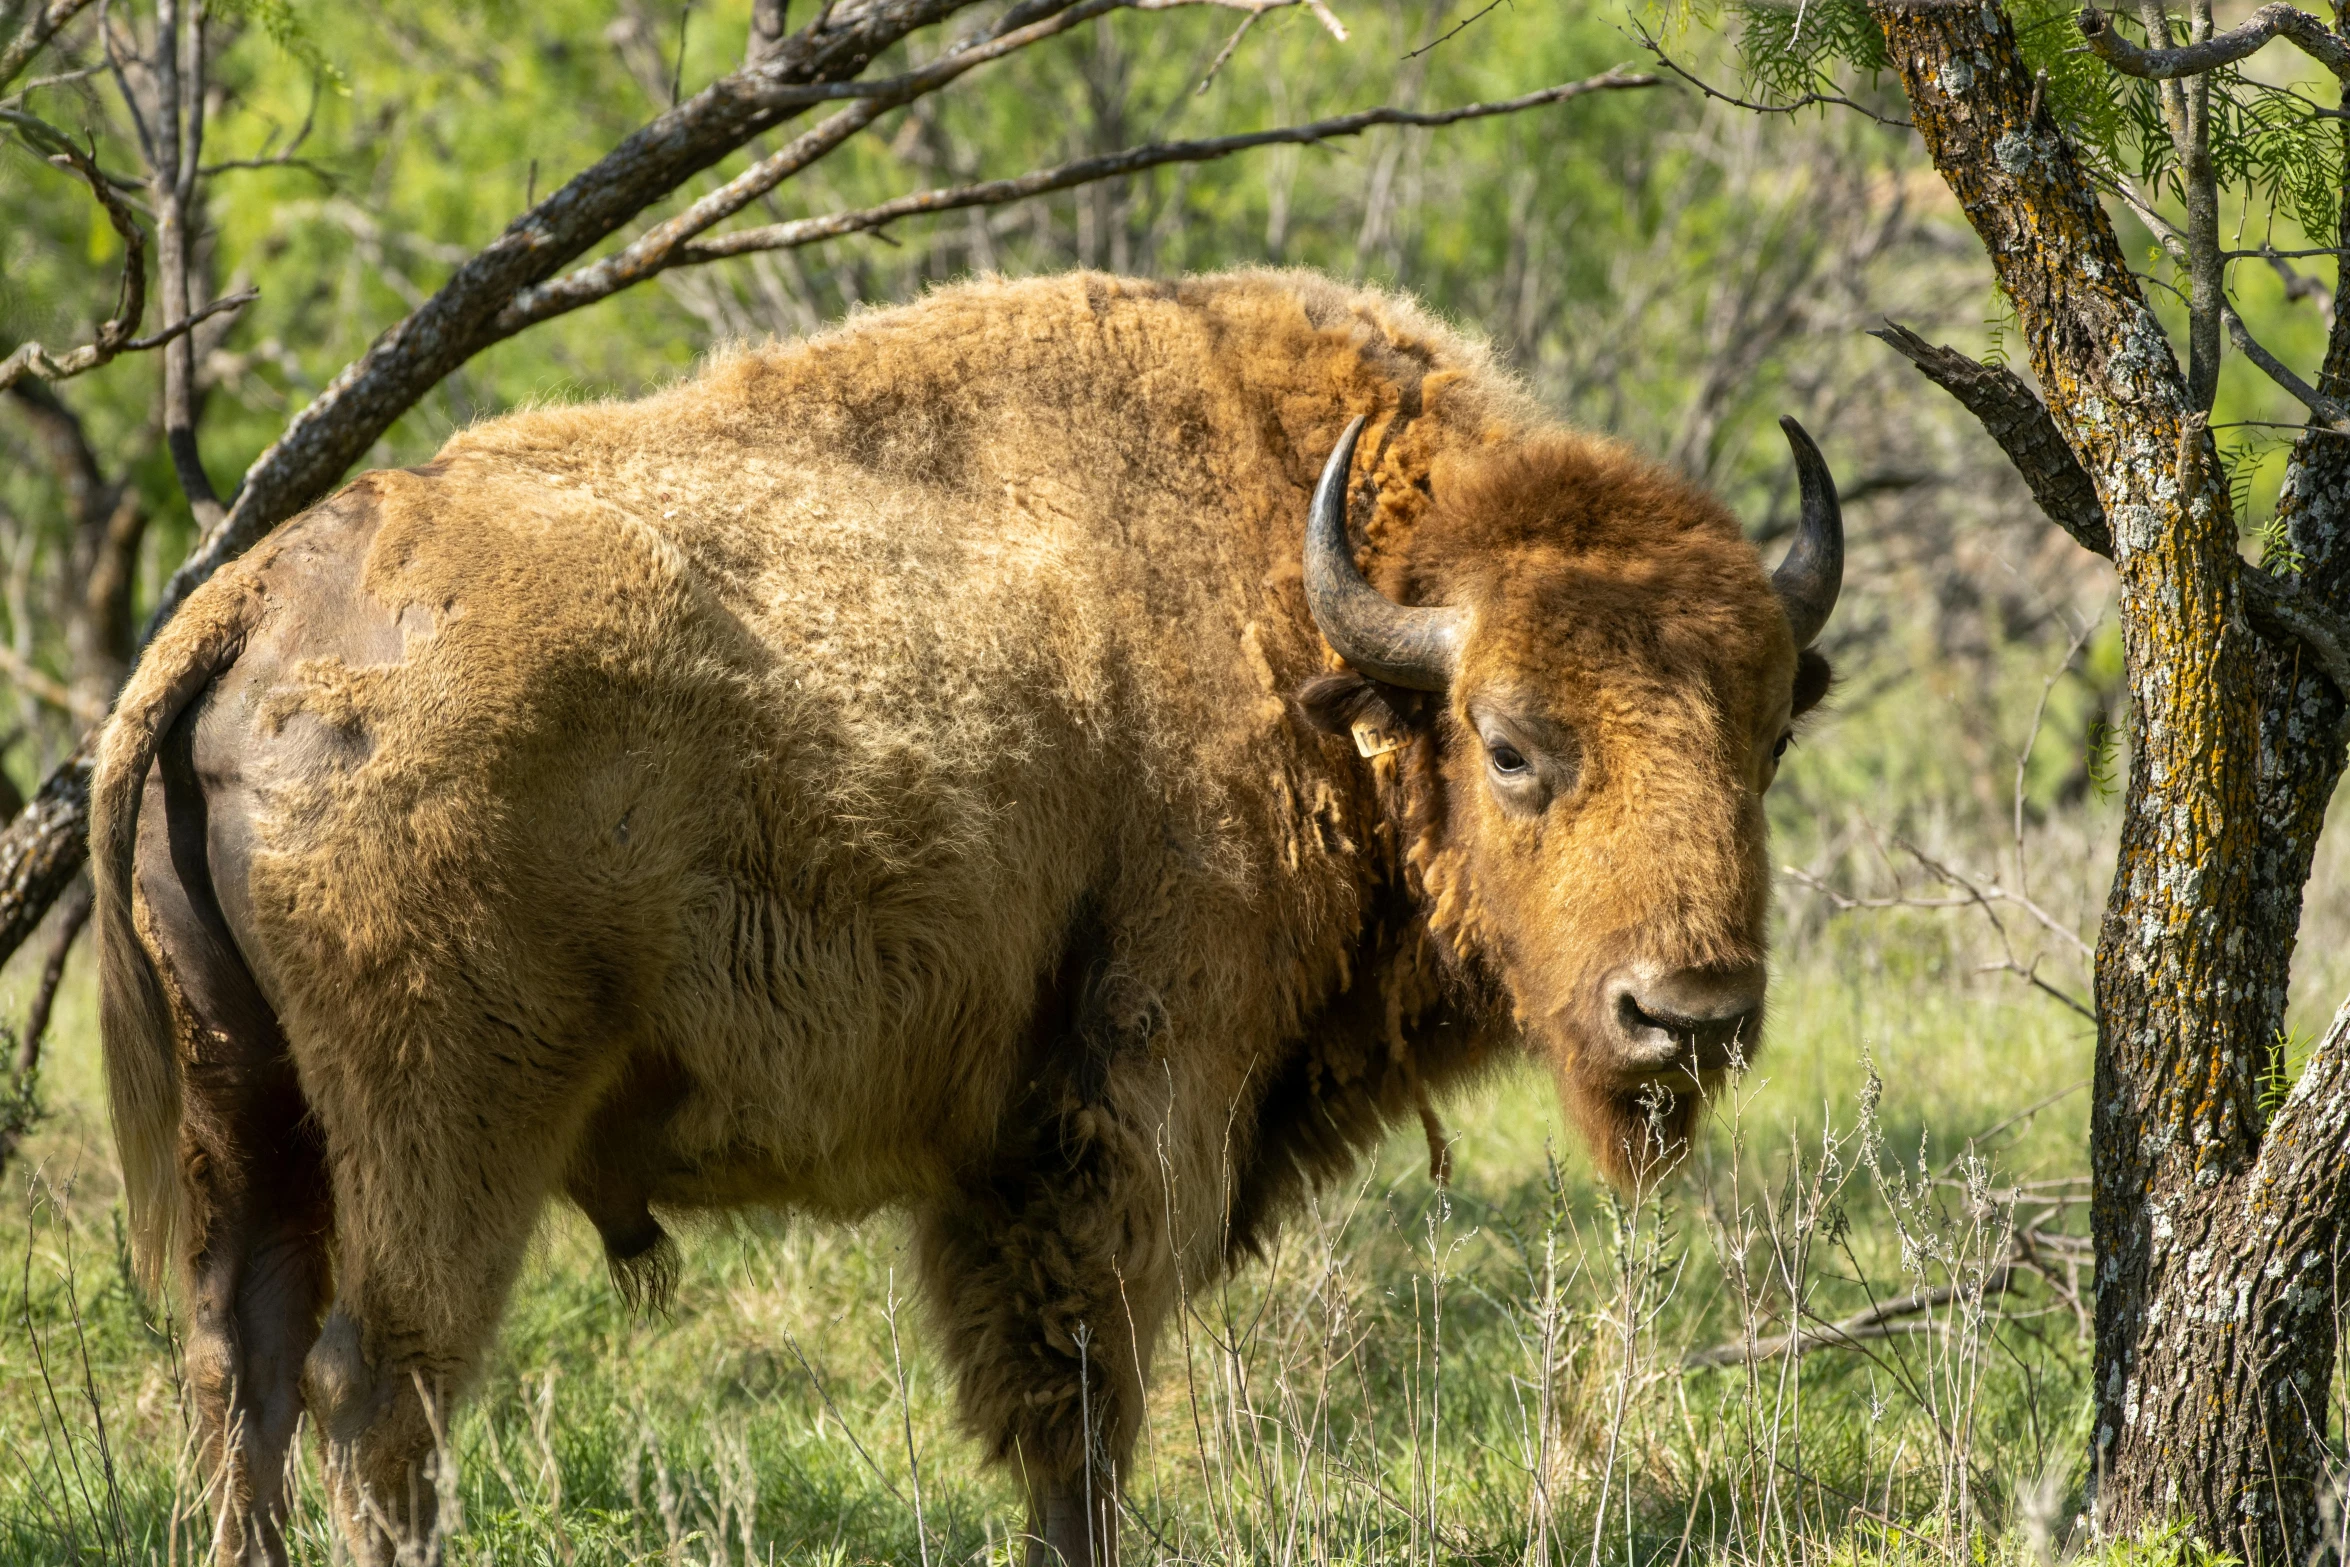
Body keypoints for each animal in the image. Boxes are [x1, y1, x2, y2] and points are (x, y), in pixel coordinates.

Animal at [96, 272, 1832, 1567]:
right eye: (1510, 742)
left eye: (1767, 736)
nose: (1688, 1011)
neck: (1302, 621)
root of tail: (253, 598)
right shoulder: (1123, 1113)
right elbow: (1079, 1404)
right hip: (449, 1127)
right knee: (379, 1387)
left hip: (245, 1108)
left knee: (240, 1364)